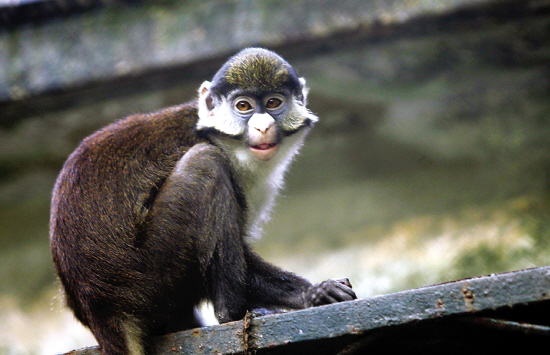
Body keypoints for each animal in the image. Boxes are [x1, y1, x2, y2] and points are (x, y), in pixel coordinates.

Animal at [51, 48, 358, 355]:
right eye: (243, 106)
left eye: (273, 103)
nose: (262, 126)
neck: (222, 140)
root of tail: (101, 310)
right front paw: (312, 292)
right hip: (148, 273)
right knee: (205, 162)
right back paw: (232, 313)